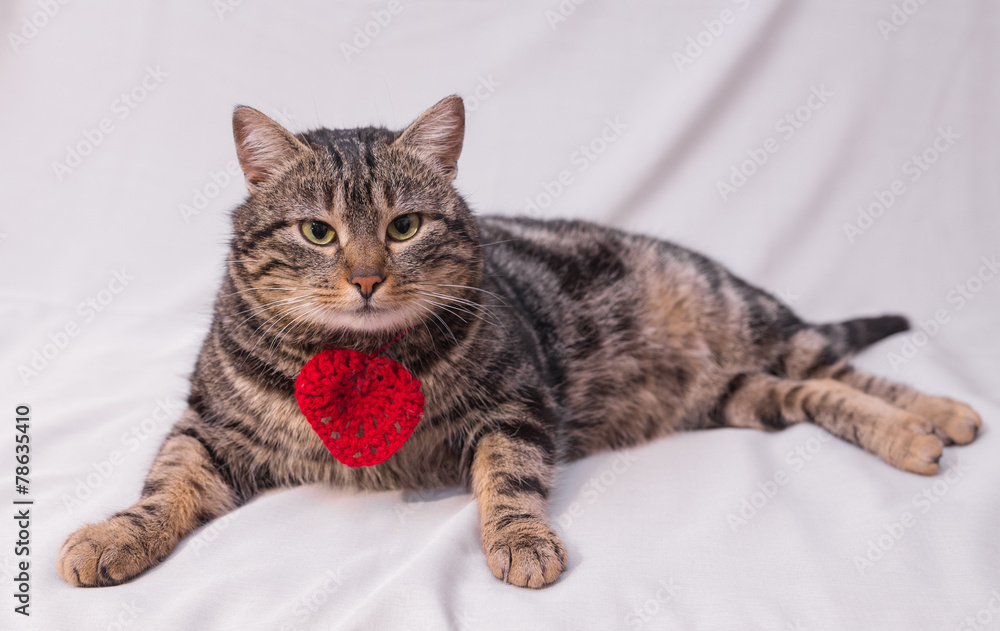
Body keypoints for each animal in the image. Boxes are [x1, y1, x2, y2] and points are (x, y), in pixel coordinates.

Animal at [58, 96, 980, 592]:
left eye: (404, 225)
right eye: (318, 231)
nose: (365, 277)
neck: (359, 360)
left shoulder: (518, 400)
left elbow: (507, 478)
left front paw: (522, 542)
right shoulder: (211, 426)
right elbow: (164, 483)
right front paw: (111, 536)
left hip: (757, 323)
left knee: (850, 368)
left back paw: (939, 415)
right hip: (741, 392)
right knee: (818, 395)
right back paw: (914, 436)